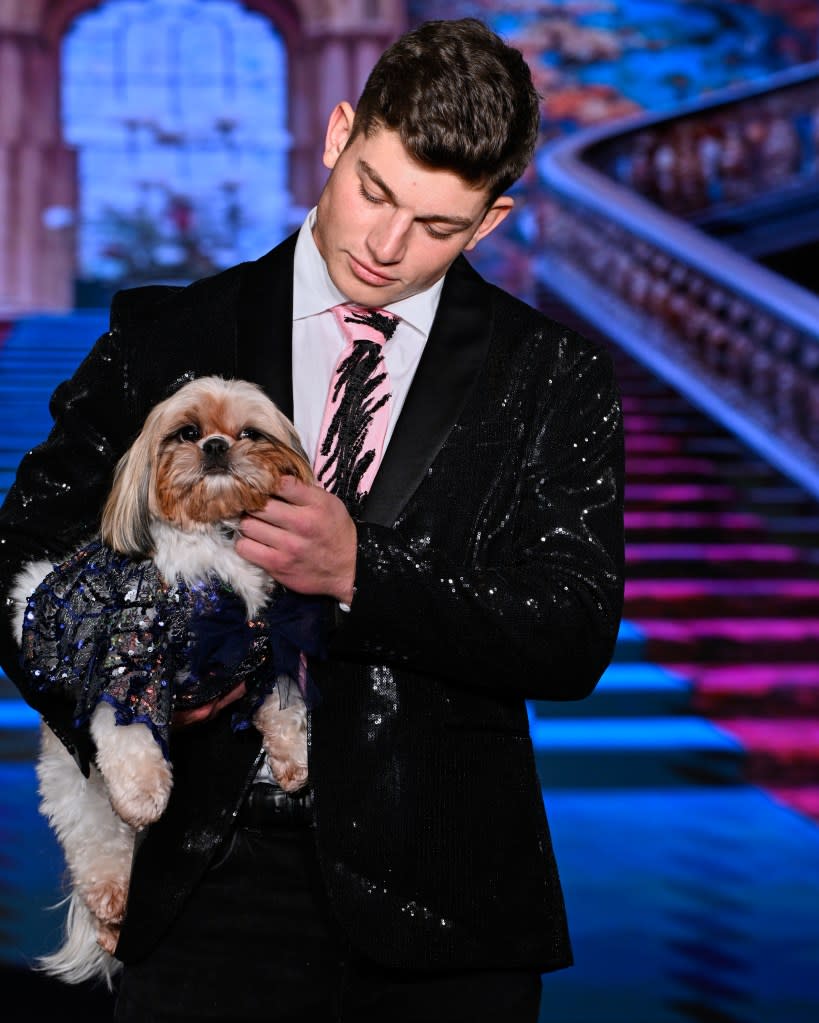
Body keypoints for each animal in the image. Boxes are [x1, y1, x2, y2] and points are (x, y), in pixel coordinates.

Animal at [12, 374, 325, 982]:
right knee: (96, 840)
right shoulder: (132, 663)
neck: (212, 537)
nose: (216, 447)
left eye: (249, 434)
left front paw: (295, 757)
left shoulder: (263, 644)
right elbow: (132, 737)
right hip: (77, 784)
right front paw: (145, 794)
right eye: (187, 432)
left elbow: (283, 703)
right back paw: (112, 900)